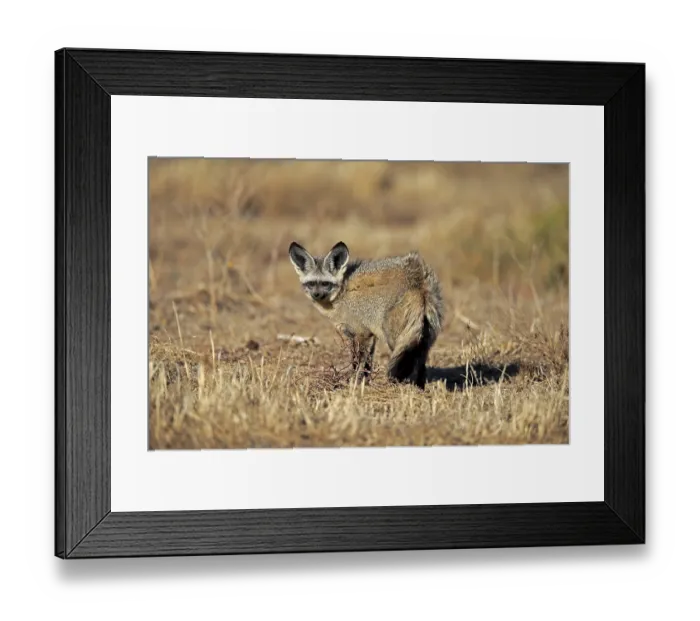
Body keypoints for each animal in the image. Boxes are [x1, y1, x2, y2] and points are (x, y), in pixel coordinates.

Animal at [288, 240, 444, 389]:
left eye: (325, 284)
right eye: (311, 284)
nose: (316, 295)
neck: (342, 293)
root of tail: (418, 279)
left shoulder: (361, 333)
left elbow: (357, 362)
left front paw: (354, 383)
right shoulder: (368, 335)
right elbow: (368, 363)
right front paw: (365, 383)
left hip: (394, 338)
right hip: (423, 339)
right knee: (421, 365)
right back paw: (419, 388)